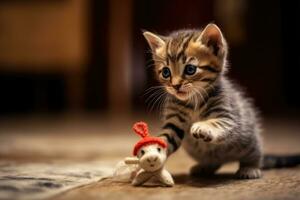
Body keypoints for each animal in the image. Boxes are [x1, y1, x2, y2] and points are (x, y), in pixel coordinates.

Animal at [143, 23, 300, 178]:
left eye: (190, 69)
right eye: (165, 72)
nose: (175, 86)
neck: (193, 101)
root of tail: (226, 159)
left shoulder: (228, 117)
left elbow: (217, 123)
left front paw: (203, 127)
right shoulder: (173, 122)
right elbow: (165, 138)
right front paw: (152, 151)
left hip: (248, 141)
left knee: (255, 155)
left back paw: (250, 168)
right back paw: (205, 166)